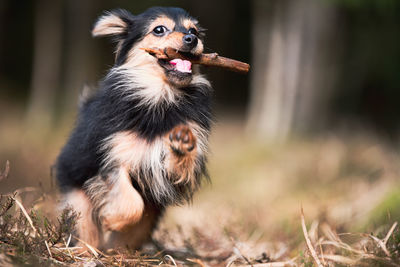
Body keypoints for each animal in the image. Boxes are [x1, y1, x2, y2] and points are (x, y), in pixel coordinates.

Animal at [55, 6, 212, 251]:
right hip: (78, 197)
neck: (161, 96)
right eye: (159, 30)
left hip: (150, 217)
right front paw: (112, 219)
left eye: (194, 30)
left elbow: (178, 166)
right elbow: (131, 203)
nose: (191, 39)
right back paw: (87, 250)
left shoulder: (167, 173)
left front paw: (182, 144)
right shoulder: (114, 159)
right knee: (87, 228)